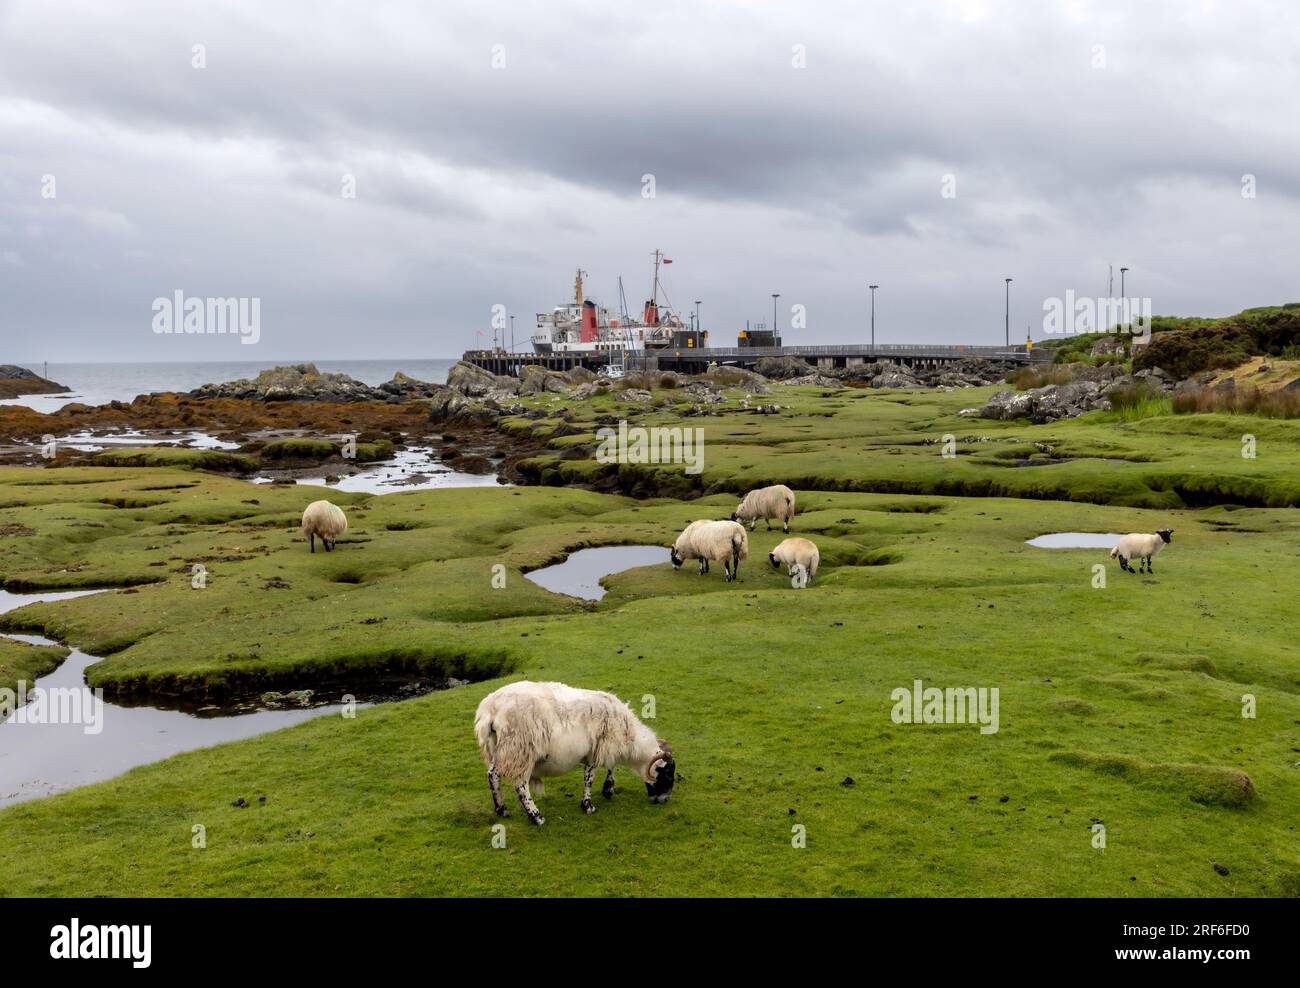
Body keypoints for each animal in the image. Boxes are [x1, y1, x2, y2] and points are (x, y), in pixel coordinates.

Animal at [478, 681, 681, 826]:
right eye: (668, 774)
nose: (664, 800)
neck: (629, 737)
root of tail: (490, 709)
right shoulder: (596, 751)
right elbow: (590, 778)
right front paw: (588, 805)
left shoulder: (605, 748)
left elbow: (611, 766)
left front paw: (608, 789)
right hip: (520, 751)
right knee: (521, 785)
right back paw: (536, 816)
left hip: (500, 749)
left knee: (493, 775)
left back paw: (501, 809)